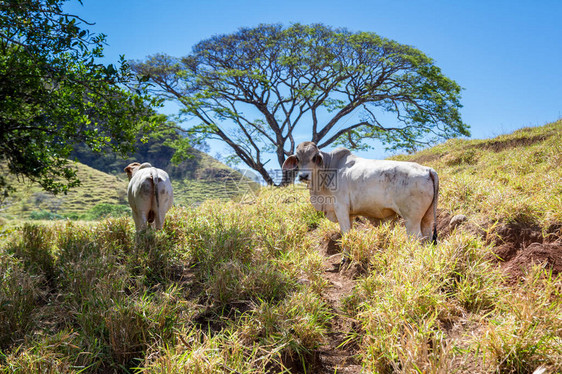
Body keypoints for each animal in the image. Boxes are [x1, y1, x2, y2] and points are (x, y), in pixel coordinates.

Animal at [280, 141, 438, 243]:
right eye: (298, 158)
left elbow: (345, 233)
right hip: (427, 218)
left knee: (416, 239)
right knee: (427, 238)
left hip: (411, 220)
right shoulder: (349, 214)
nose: (303, 176)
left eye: (314, 157)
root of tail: (428, 169)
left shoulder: (340, 208)